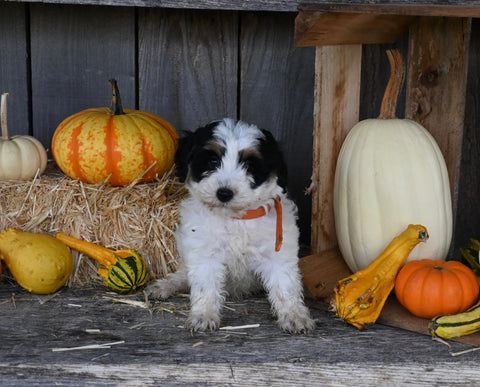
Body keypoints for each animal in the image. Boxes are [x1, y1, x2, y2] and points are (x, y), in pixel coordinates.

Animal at [148, 118, 316, 334]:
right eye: (213, 161)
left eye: (249, 165)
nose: (224, 193)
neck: (236, 218)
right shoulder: (205, 253)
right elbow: (205, 286)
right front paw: (203, 315)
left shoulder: (277, 254)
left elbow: (285, 286)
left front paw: (295, 316)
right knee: (183, 274)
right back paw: (165, 286)